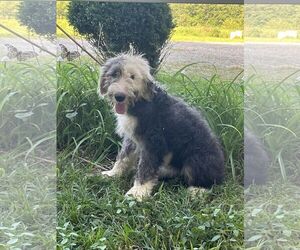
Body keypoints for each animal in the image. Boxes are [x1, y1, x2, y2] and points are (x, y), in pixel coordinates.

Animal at [99, 53, 224, 200]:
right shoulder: (132, 138)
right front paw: (112, 174)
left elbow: (146, 168)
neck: (141, 103)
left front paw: (138, 193)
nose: (119, 96)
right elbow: (124, 157)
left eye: (133, 76)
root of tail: (222, 171)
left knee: (211, 182)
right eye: (114, 74)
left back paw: (197, 190)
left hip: (196, 159)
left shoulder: (154, 142)